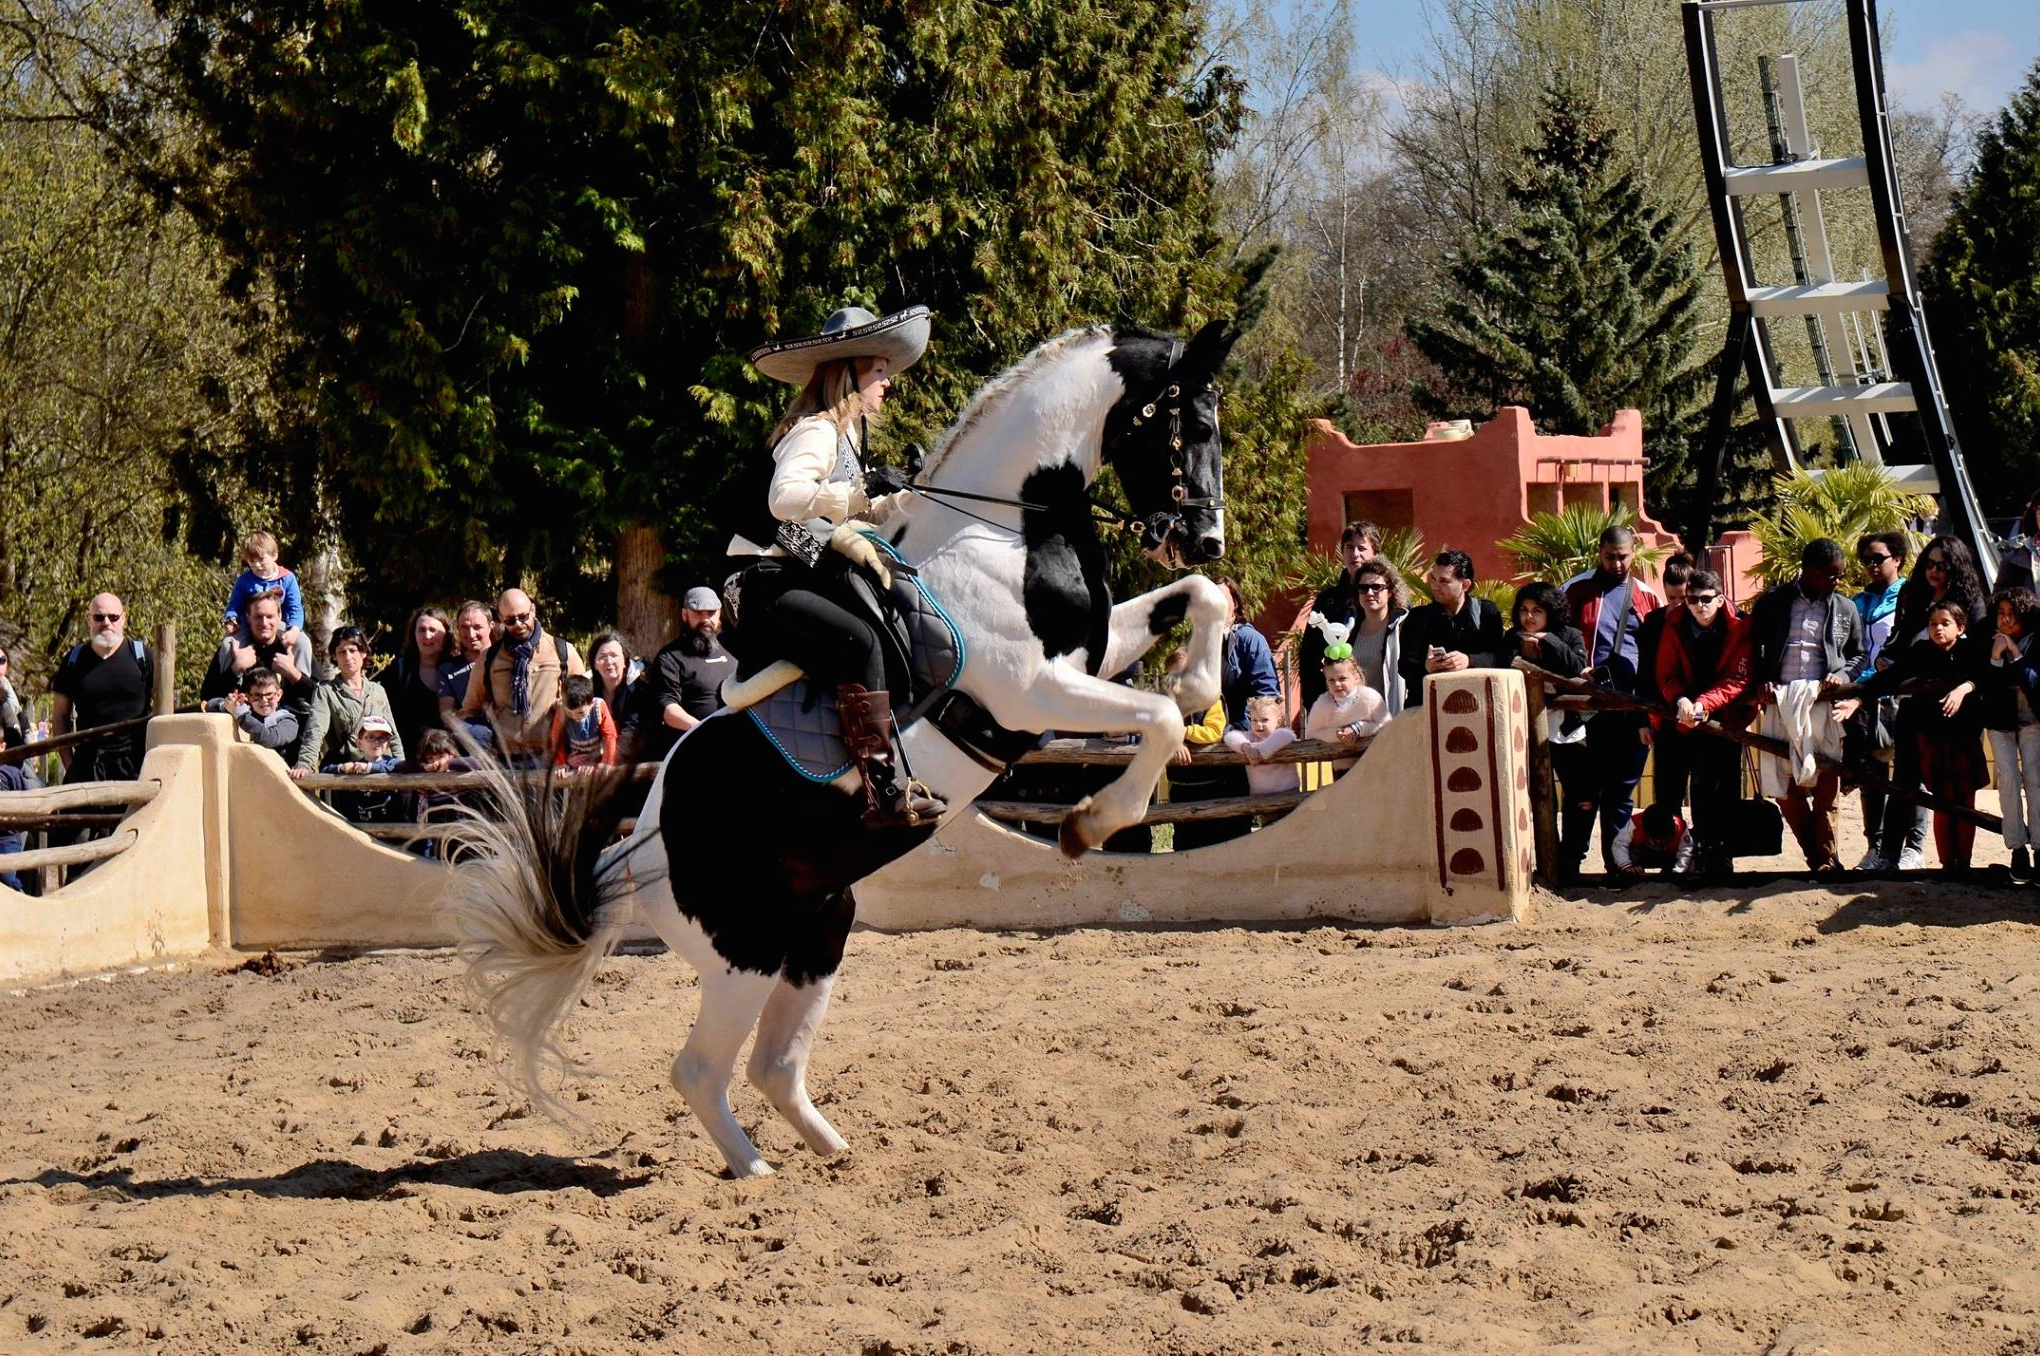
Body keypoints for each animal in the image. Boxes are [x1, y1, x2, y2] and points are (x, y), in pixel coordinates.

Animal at [454, 318, 1232, 1174]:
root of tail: (637, 851)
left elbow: (1202, 605)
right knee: (700, 1069)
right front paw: (1091, 821)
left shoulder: (1089, 655)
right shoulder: (1030, 689)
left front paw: (1198, 683)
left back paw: (835, 1156)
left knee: (773, 1065)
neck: (1004, 529)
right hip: (746, 955)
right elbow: (1157, 718)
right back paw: (755, 1174)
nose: (1206, 538)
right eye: (1191, 426)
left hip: (818, 929)